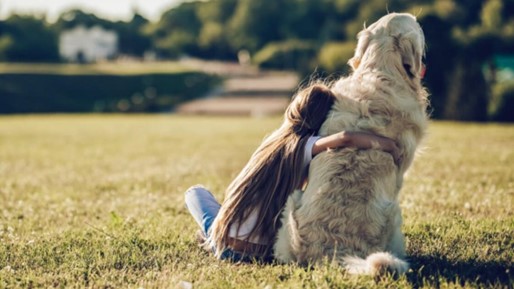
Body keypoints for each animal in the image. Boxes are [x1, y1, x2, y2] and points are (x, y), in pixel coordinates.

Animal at [274, 12, 426, 276]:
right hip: (395, 213)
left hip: (291, 204)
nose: (420, 20)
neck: (381, 71)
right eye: (416, 26)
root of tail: (333, 250)